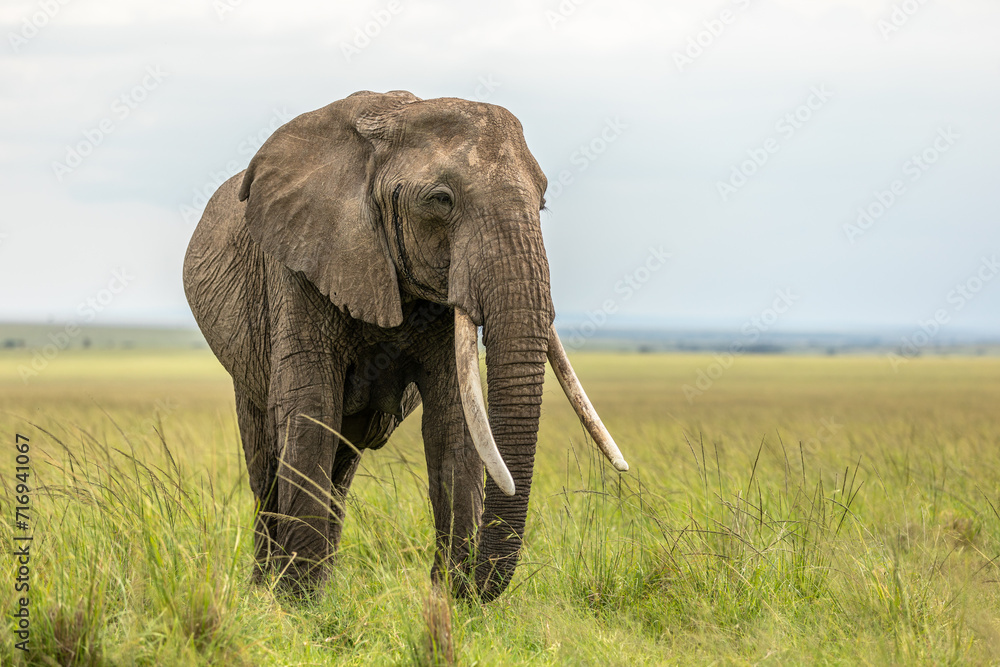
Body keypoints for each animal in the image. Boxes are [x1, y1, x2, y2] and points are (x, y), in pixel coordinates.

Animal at [182, 91, 624, 604]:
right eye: (441, 200)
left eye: (544, 202)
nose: (473, 590)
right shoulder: (297, 263)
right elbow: (310, 408)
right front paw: (297, 603)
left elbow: (453, 421)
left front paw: (448, 600)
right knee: (265, 458)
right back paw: (268, 587)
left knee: (342, 468)